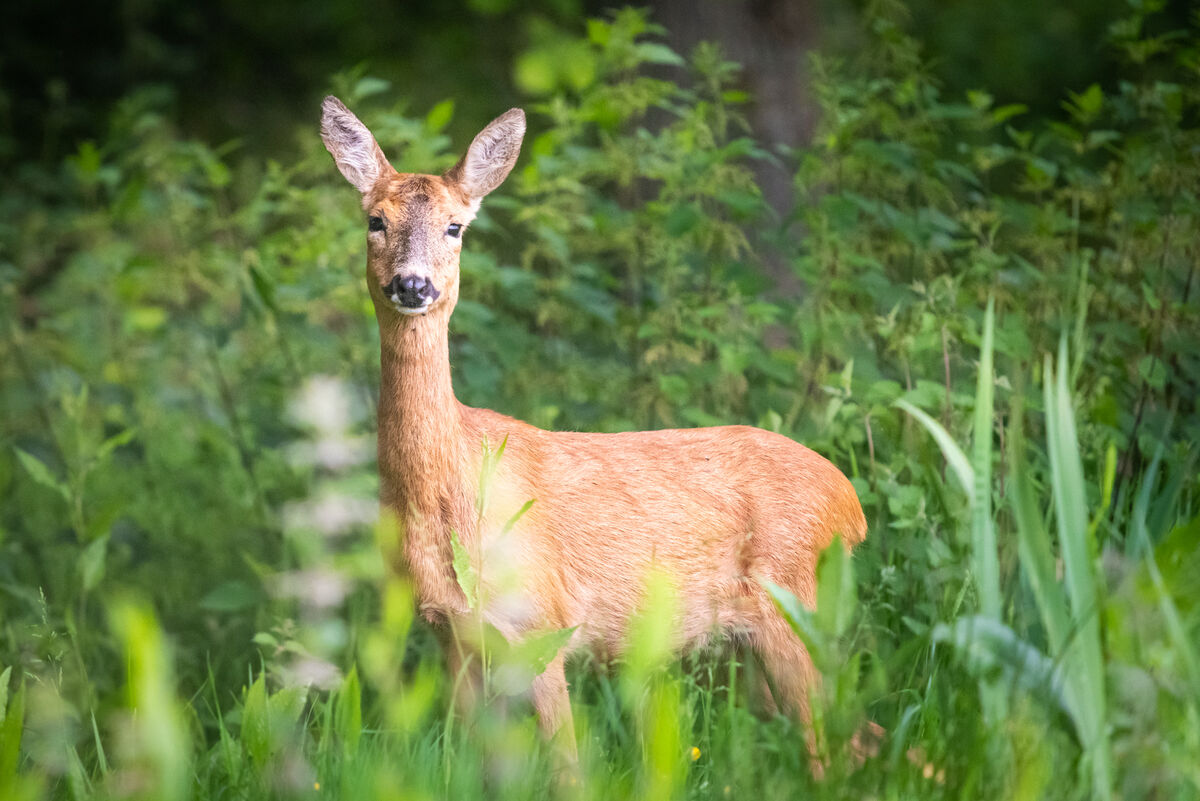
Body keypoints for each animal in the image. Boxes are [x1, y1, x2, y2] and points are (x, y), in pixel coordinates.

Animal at [319, 95, 869, 765]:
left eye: (456, 227)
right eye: (375, 220)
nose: (413, 285)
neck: (449, 493)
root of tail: (851, 505)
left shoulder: (542, 623)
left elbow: (567, 767)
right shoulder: (452, 634)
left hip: (794, 604)